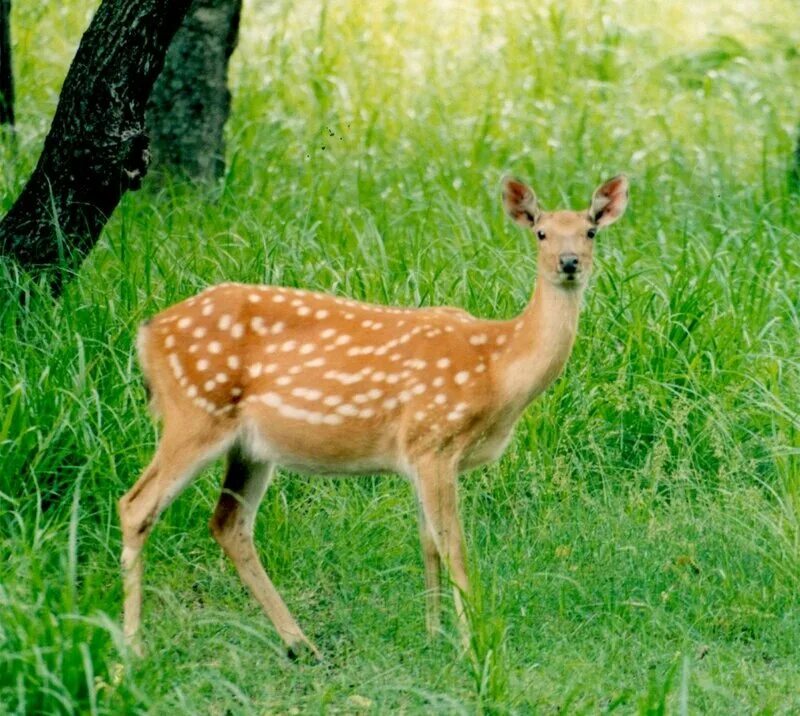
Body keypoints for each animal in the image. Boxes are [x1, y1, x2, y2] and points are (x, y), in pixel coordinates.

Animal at [120, 175, 632, 660]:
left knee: (229, 524)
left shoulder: (422, 455)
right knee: (136, 506)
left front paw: (434, 635)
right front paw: (473, 646)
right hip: (195, 412)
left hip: (250, 446)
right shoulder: (434, 438)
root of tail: (147, 334)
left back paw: (301, 644)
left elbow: (428, 543)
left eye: (590, 231)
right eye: (541, 233)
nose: (569, 262)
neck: (497, 370)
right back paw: (134, 648)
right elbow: (455, 547)